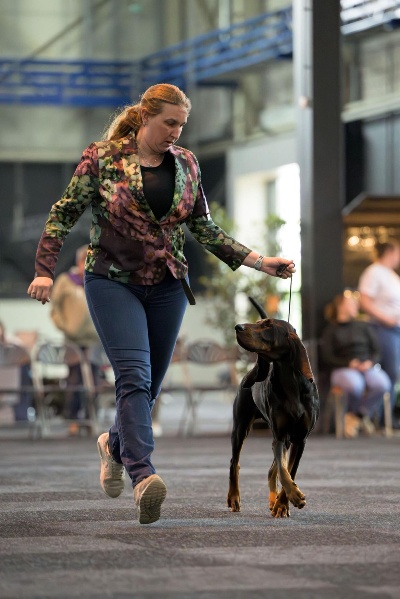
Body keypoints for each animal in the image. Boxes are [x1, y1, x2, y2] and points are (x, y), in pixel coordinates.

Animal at [227, 298, 319, 518]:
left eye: (268, 326)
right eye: (259, 323)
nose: (238, 327)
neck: (290, 383)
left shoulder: (299, 439)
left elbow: (290, 470)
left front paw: (283, 503)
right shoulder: (280, 435)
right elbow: (284, 472)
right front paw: (294, 496)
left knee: (273, 469)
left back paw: (274, 500)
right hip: (240, 427)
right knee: (235, 463)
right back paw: (234, 497)